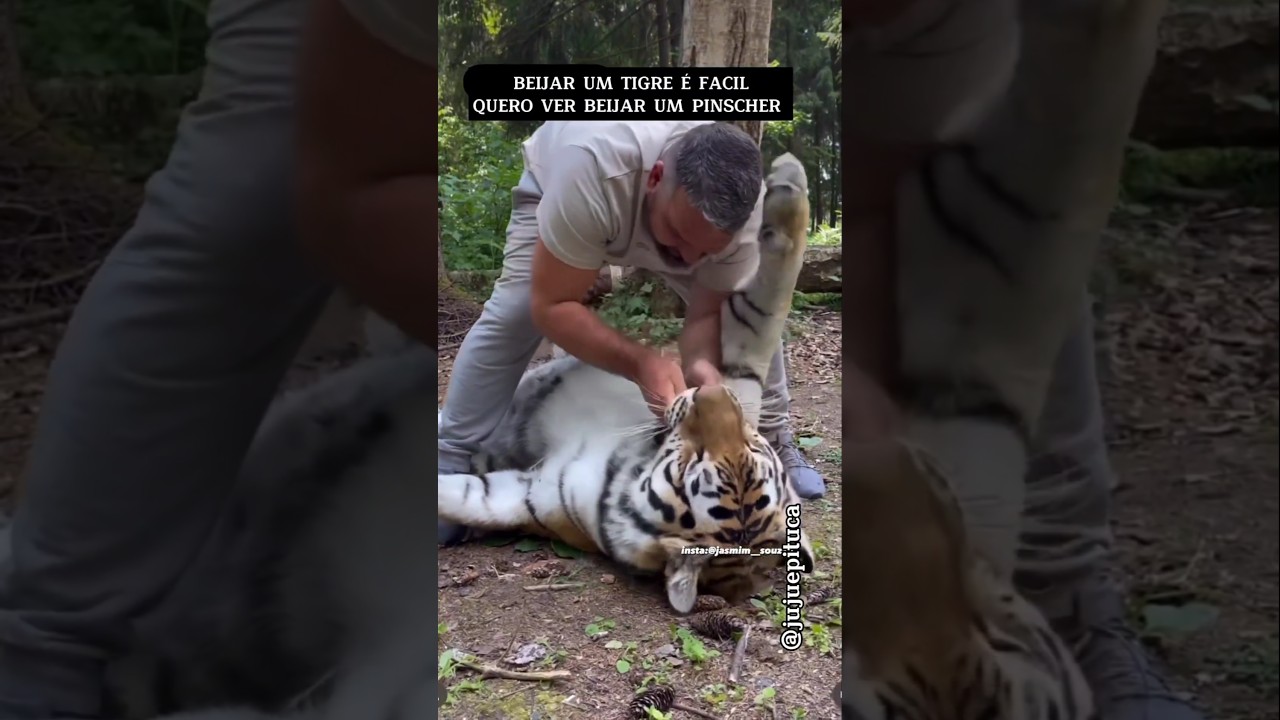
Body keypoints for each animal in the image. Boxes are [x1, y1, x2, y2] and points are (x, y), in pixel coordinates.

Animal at [436, 152, 818, 613]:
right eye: (753, 442)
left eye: (692, 463)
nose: (707, 392)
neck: (629, 464)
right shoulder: (739, 377)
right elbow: (770, 306)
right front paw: (790, 182)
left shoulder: (523, 495)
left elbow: (465, 496)